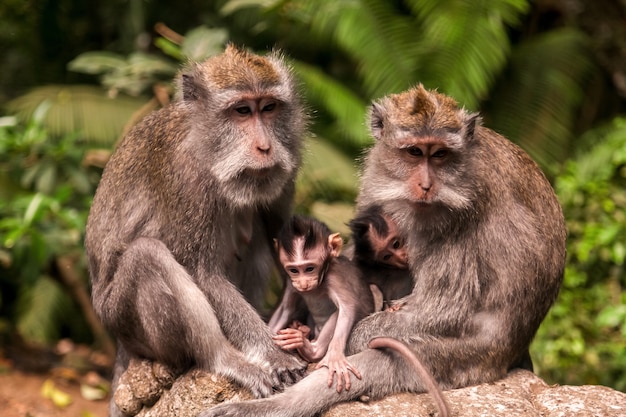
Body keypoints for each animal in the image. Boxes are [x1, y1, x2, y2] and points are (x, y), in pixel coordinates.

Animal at [83, 44, 308, 414]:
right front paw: (273, 354)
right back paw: (223, 359)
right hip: (125, 322)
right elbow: (202, 272)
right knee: (148, 256)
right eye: (242, 111)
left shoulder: (286, 168)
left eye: (269, 108)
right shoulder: (187, 178)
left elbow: (281, 238)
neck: (209, 146)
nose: (265, 147)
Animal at [200, 84, 564, 416]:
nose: (427, 186)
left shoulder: (460, 212)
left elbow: (445, 308)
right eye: (414, 152)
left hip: (468, 359)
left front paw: (352, 335)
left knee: (391, 357)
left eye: (440, 154)